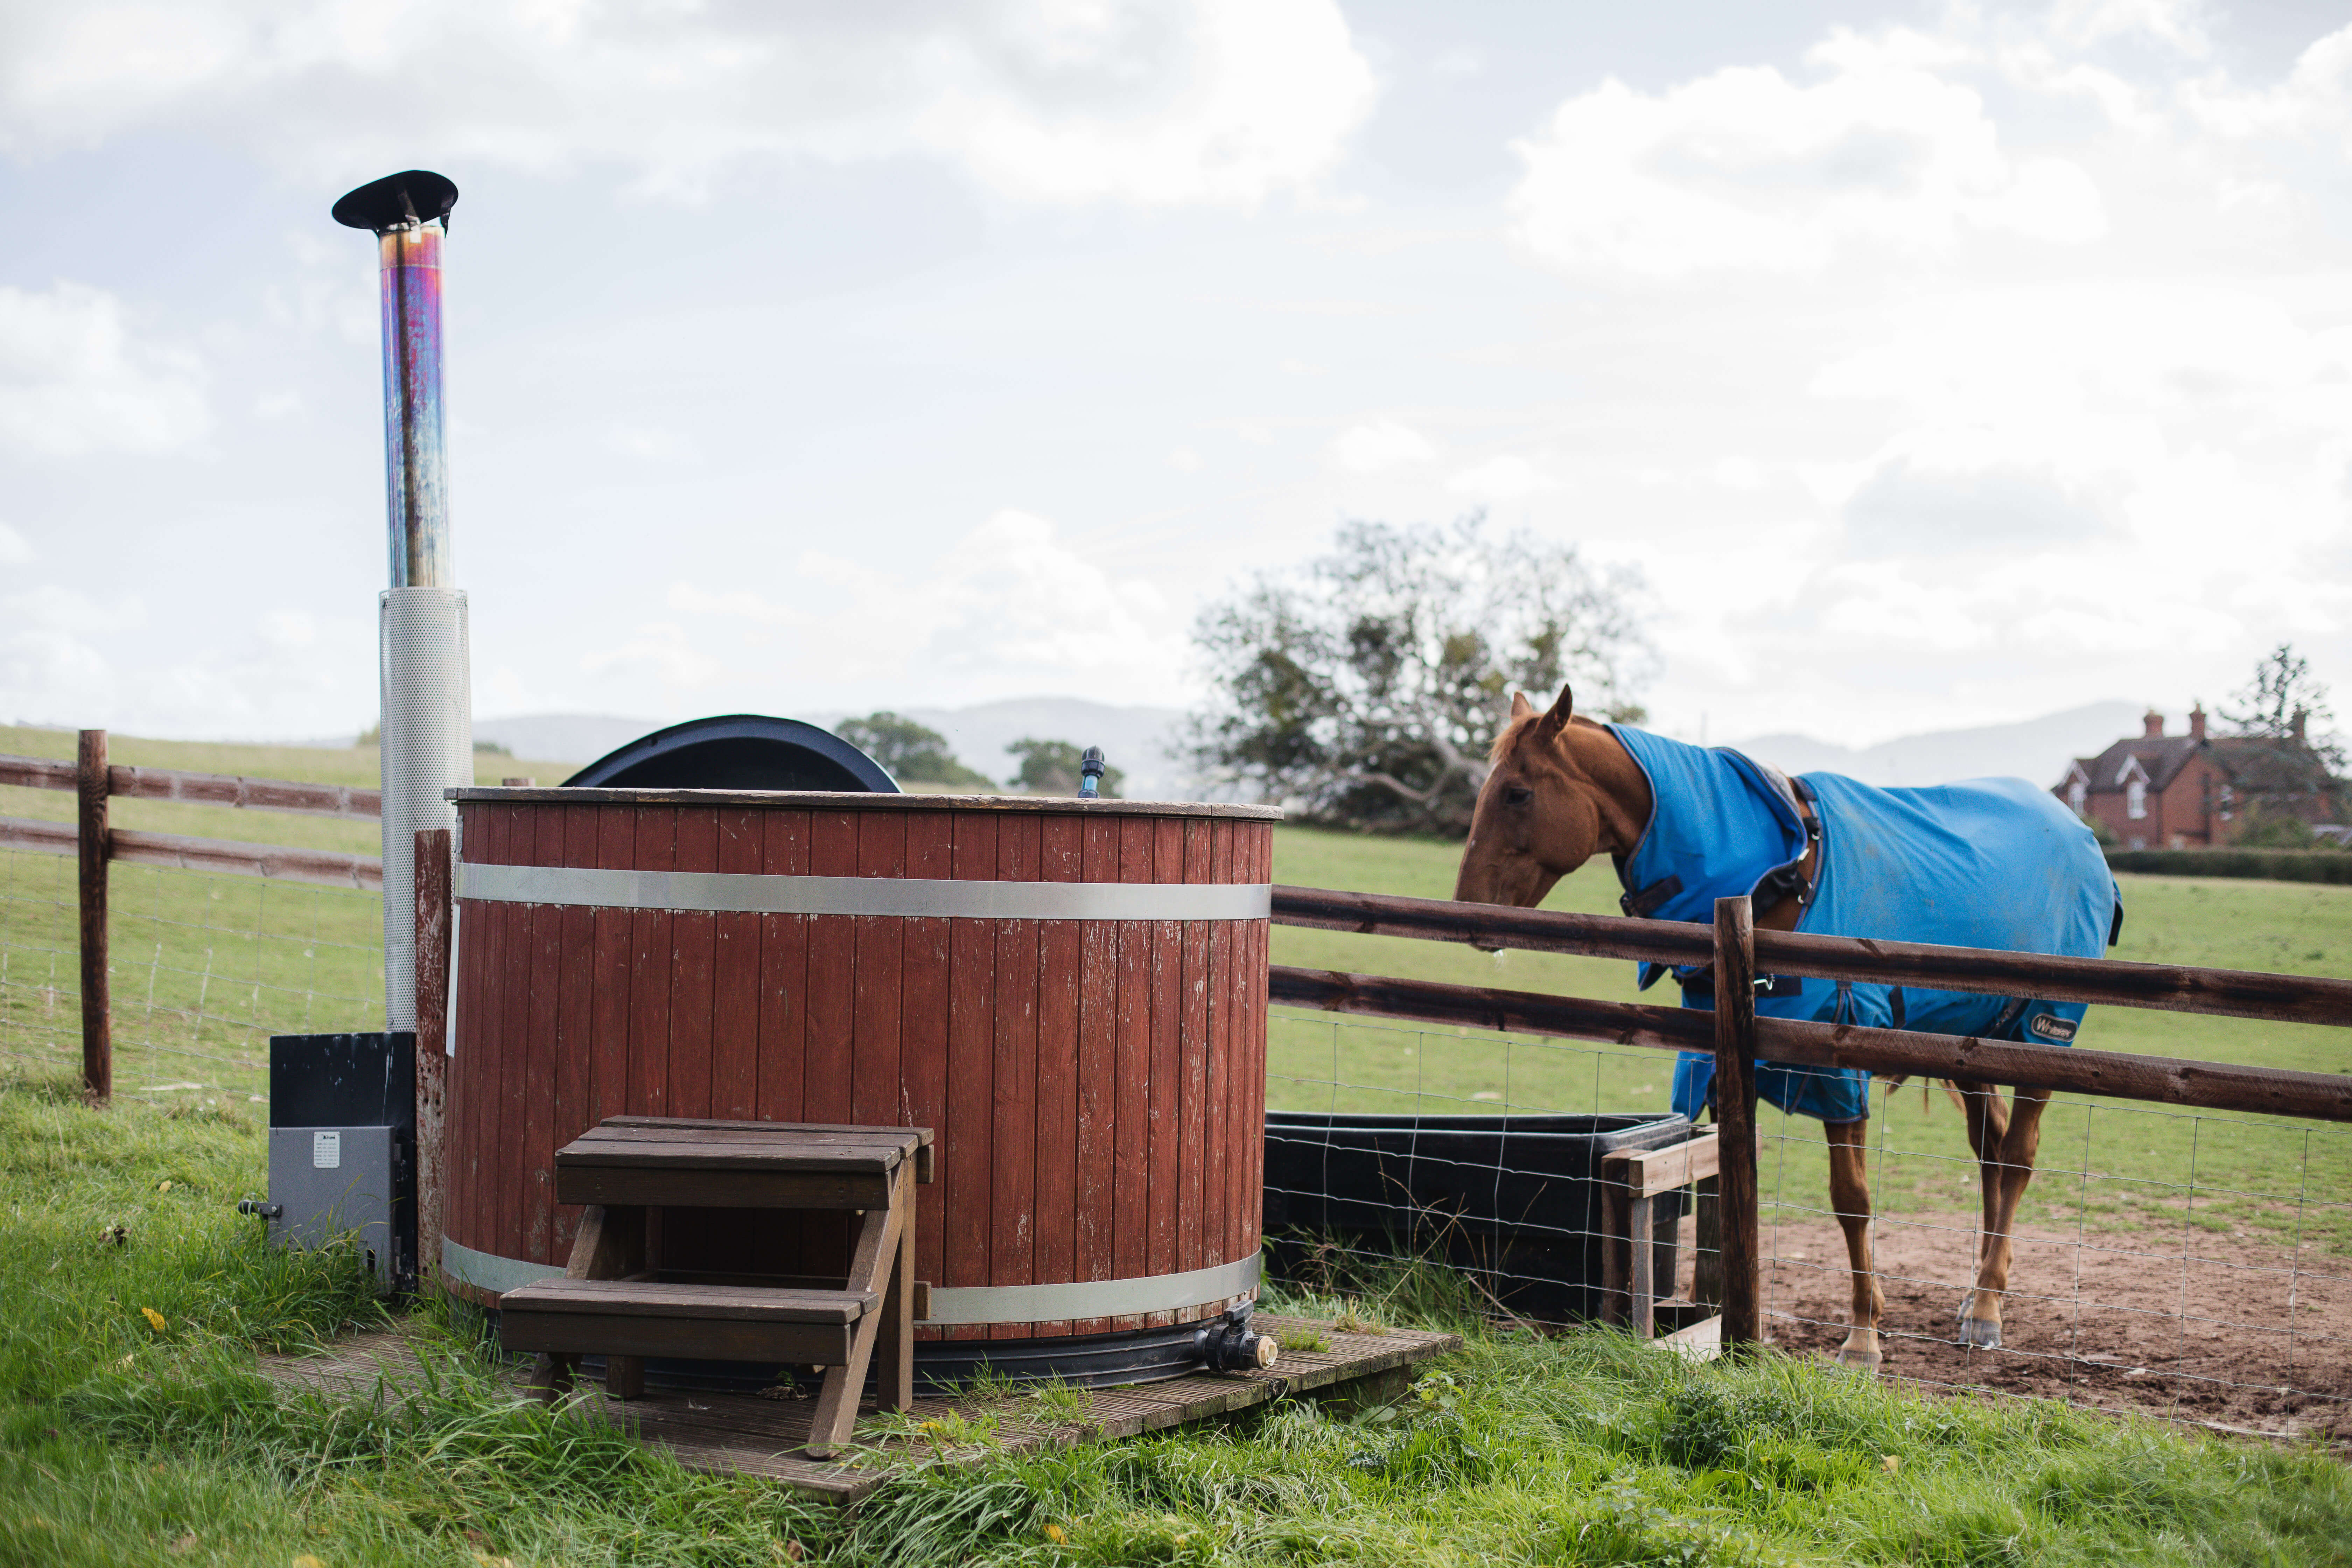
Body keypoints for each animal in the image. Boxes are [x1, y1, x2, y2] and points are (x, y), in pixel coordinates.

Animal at [1449, 686, 2117, 1363]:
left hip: (2041, 1037)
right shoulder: (1718, 1067)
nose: (1466, 907)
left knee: (2018, 1159)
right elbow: (1724, 1184)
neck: (1775, 879)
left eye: (1517, 793)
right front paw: (1727, 1321)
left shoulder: (1840, 1071)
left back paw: (1985, 1310)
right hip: (1968, 1045)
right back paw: (1981, 1292)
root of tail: (2079, 834)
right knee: (1991, 1155)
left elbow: (1852, 1202)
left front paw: (1862, 1337)